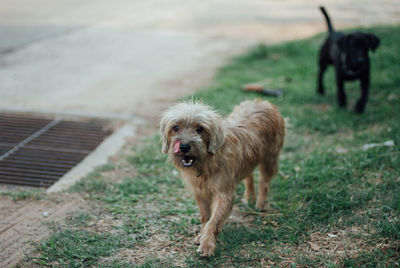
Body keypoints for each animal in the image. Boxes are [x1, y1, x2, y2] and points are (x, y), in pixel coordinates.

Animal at [159, 99, 284, 256]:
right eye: (175, 127)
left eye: (200, 129)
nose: (184, 146)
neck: (207, 162)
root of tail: (263, 102)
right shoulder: (201, 194)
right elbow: (206, 217)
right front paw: (202, 236)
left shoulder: (224, 195)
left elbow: (213, 222)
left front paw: (207, 244)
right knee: (249, 176)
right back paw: (249, 197)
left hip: (270, 159)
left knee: (264, 182)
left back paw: (261, 203)